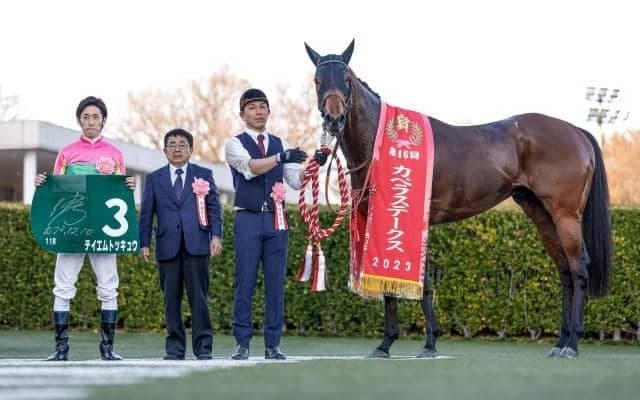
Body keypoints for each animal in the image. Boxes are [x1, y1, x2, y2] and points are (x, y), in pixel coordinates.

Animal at [304, 40, 612, 359]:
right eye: (317, 81)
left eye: (347, 79)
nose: (334, 119)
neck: (381, 144)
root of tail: (576, 131)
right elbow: (396, 280)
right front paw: (388, 345)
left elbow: (421, 280)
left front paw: (426, 344)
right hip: (542, 215)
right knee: (564, 270)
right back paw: (560, 342)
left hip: (566, 215)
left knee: (579, 269)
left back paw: (572, 343)